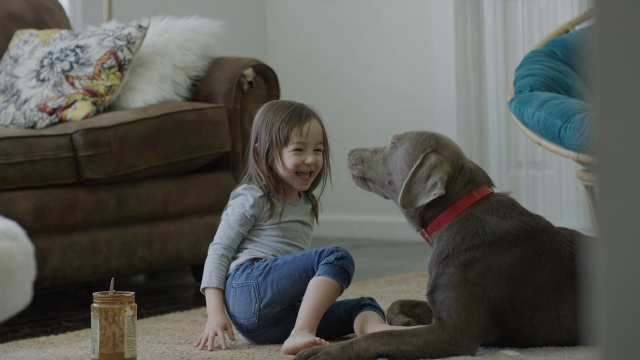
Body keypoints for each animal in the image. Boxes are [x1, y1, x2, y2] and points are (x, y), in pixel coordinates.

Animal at [294, 131, 592, 360]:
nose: (349, 151)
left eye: (393, 143)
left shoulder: (454, 333)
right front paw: (405, 321)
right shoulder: (439, 309)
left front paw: (326, 352)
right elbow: (396, 304)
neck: (455, 213)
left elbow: (378, 338)